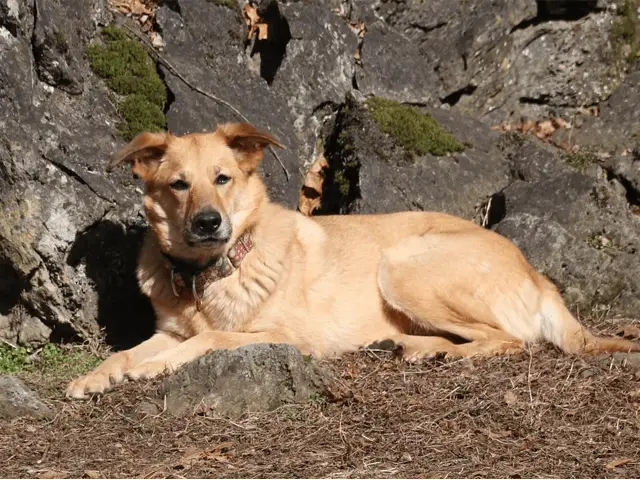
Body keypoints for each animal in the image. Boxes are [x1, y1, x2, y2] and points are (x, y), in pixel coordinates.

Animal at [66, 122, 640, 400]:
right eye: (179, 184)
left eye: (222, 178)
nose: (208, 222)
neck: (211, 271)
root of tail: (538, 276)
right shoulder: (169, 329)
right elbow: (129, 352)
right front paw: (96, 376)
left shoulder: (290, 337)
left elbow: (212, 339)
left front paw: (151, 369)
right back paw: (409, 346)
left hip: (405, 263)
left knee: (509, 340)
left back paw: (442, 353)